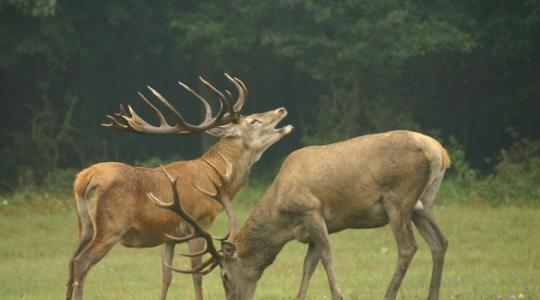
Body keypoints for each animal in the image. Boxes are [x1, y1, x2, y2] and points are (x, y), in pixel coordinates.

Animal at [65, 73, 294, 300]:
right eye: (253, 120)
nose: (282, 109)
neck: (217, 178)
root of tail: (85, 179)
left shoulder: (169, 235)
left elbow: (166, 277)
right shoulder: (199, 221)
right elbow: (197, 275)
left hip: (84, 225)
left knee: (71, 261)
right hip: (110, 227)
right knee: (81, 264)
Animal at [151, 131, 452, 300]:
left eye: (224, 276)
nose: (235, 299)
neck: (282, 218)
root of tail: (439, 151)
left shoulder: (312, 211)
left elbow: (327, 258)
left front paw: (338, 295)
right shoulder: (313, 229)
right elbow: (309, 265)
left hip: (397, 199)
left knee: (408, 247)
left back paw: (389, 295)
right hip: (423, 203)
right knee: (440, 241)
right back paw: (433, 295)